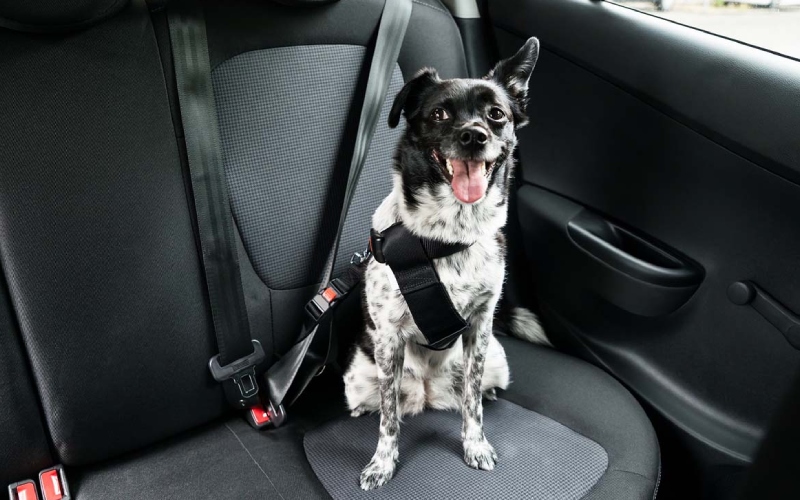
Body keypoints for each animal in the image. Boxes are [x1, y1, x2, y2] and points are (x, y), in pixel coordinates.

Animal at [340, 37, 548, 490]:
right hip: (358, 376)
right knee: (380, 402)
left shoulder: (479, 327)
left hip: (498, 360)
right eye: (439, 113)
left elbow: (472, 403)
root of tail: (428, 393)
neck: (446, 236)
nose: (473, 136)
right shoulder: (389, 339)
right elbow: (389, 420)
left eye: (496, 114)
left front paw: (475, 444)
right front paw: (382, 463)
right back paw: (366, 408)